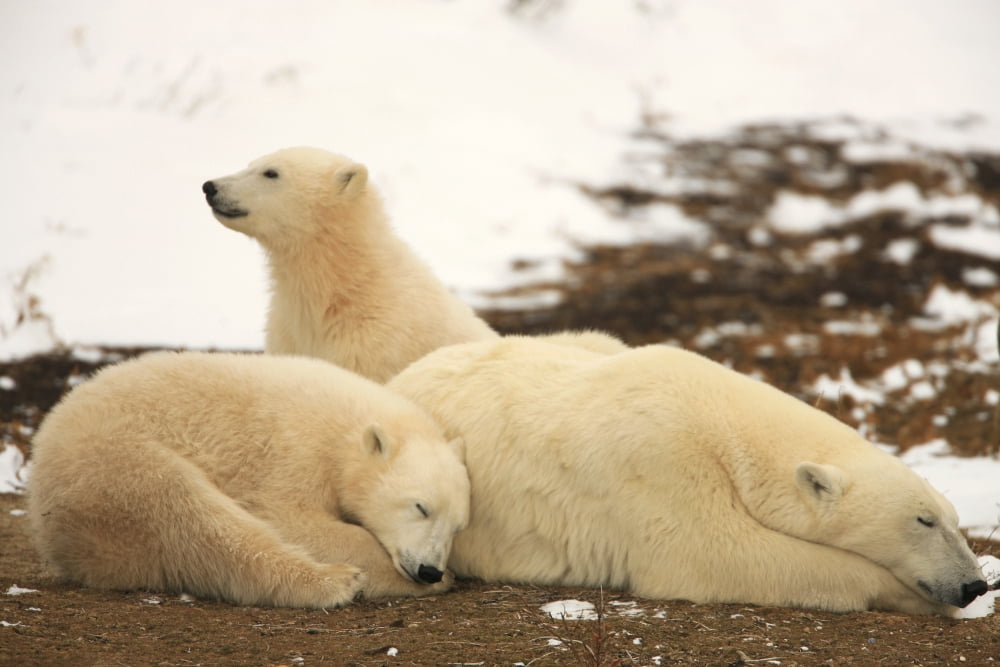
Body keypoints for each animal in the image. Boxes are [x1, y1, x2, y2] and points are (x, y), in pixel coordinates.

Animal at [27, 351, 470, 609]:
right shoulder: (293, 451)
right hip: (114, 464)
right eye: (420, 507)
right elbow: (290, 519)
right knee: (193, 521)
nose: (429, 570)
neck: (345, 428)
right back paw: (335, 582)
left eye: (458, 526)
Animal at [388, 337, 988, 615]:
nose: (974, 583)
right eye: (923, 520)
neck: (722, 416)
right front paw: (910, 594)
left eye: (953, 518)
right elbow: (715, 553)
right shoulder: (659, 459)